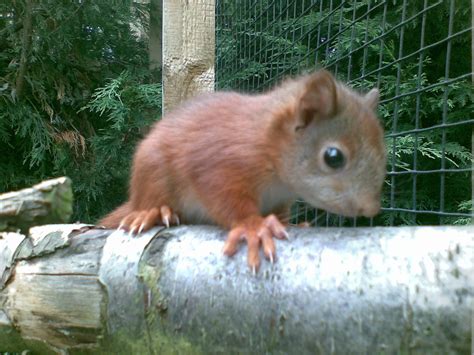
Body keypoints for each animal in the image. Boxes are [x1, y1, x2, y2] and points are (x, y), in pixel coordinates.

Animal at [100, 71, 386, 274]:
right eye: (333, 157)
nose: (371, 208)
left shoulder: (281, 198)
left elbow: (280, 214)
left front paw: (289, 223)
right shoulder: (221, 165)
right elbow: (227, 200)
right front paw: (254, 227)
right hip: (152, 171)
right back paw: (153, 212)